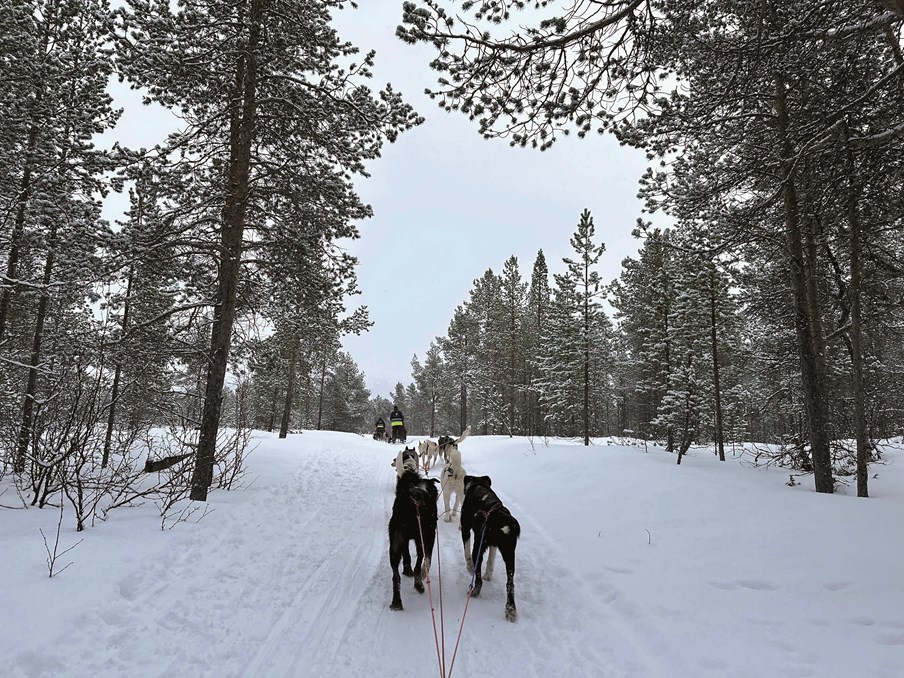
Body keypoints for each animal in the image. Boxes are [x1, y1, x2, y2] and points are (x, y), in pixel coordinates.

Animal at [386, 470, 440, 612]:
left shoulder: (405, 541)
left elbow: (408, 557)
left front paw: (407, 570)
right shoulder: (428, 536)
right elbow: (426, 559)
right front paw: (421, 575)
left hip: (395, 544)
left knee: (395, 576)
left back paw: (397, 601)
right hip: (421, 537)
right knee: (421, 559)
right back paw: (418, 584)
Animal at [460, 476, 524, 624]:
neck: (479, 484)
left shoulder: (465, 528)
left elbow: (467, 553)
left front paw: (470, 567)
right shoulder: (494, 545)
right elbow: (491, 559)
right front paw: (488, 574)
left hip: (478, 546)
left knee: (478, 578)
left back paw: (474, 590)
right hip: (509, 553)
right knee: (510, 583)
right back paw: (510, 609)